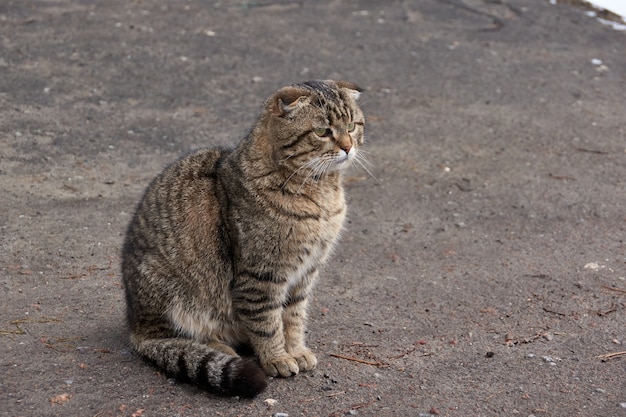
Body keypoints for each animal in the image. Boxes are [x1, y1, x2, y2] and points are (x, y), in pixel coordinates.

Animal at [120, 79, 364, 396]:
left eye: (353, 126)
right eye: (322, 131)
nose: (348, 147)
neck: (321, 193)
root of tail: (135, 324)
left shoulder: (305, 273)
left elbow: (294, 317)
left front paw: (296, 349)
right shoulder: (260, 276)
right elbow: (267, 322)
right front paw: (277, 358)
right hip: (173, 294)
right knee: (175, 338)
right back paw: (221, 348)